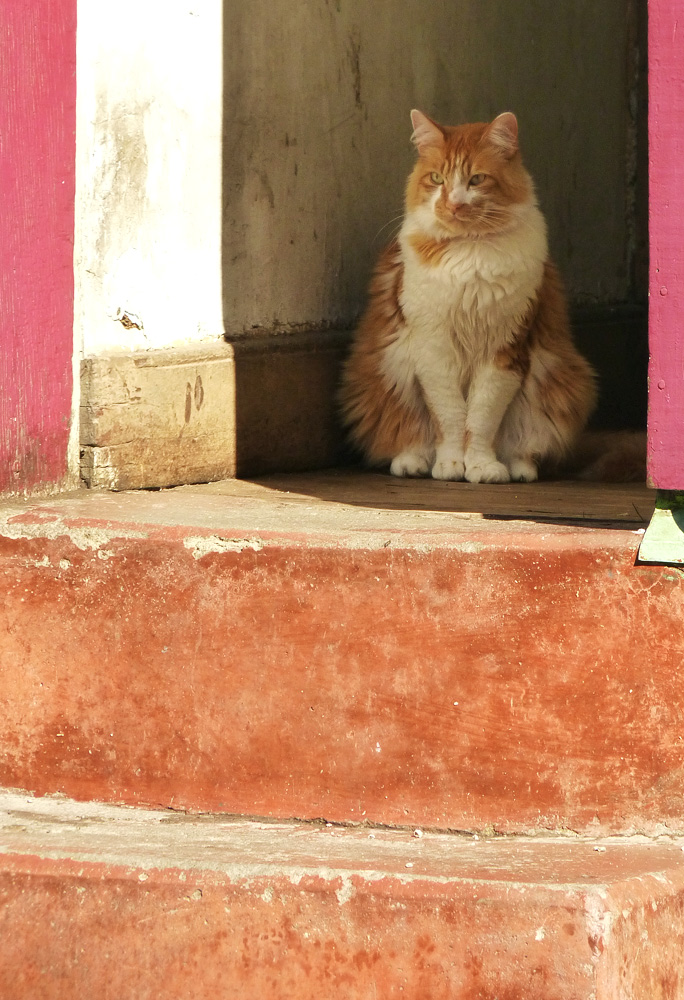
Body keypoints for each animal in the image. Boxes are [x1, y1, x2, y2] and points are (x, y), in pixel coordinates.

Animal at [342, 109, 600, 484]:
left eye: (476, 179)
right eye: (436, 178)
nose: (452, 203)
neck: (470, 251)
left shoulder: (504, 350)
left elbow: (481, 418)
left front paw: (481, 467)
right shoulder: (433, 348)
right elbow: (450, 416)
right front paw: (451, 465)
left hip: (559, 380)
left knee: (524, 445)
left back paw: (519, 469)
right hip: (385, 372)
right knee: (405, 435)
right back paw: (412, 463)